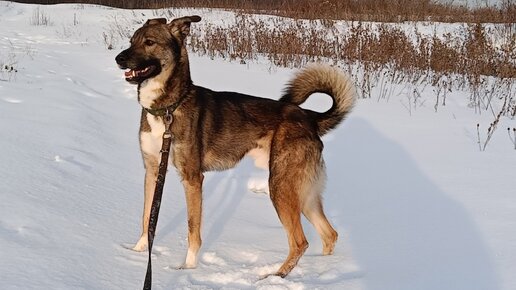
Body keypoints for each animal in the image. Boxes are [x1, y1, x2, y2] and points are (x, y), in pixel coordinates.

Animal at [114, 16, 354, 278]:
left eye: (149, 42)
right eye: (131, 40)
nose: (119, 58)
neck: (167, 109)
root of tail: (309, 118)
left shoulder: (192, 178)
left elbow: (192, 228)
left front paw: (188, 268)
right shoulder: (152, 170)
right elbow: (147, 217)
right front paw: (137, 253)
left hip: (281, 186)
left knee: (300, 241)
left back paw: (275, 276)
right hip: (303, 192)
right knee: (330, 234)